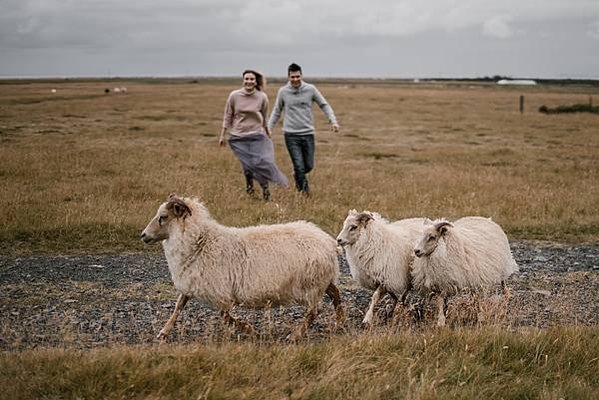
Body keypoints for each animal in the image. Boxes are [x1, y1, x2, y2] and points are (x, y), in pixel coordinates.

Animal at [142, 194, 346, 340]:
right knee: (335, 294)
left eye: (163, 217)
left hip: (311, 283)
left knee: (314, 310)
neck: (201, 242)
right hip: (321, 280)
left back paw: (296, 335)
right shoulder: (193, 281)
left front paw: (251, 331)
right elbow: (179, 306)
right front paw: (164, 332)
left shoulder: (219, 290)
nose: (143, 235)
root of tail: (328, 241)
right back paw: (339, 323)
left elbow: (224, 315)